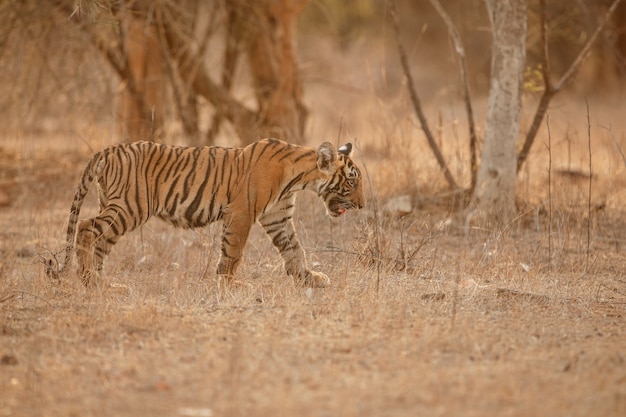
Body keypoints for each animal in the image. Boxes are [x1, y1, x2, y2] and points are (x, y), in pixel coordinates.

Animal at [44, 138, 364, 288]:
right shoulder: (241, 212)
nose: (362, 206)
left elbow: (295, 249)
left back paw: (104, 285)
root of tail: (106, 151)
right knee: (86, 229)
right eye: (351, 182)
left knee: (99, 244)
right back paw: (89, 281)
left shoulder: (277, 216)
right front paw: (230, 285)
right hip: (129, 207)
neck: (298, 178)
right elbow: (233, 252)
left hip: (114, 206)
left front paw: (310, 278)